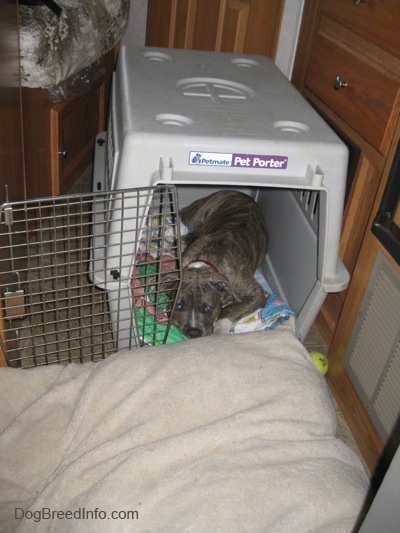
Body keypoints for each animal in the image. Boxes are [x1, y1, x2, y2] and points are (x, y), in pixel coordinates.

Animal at [164, 190, 268, 336]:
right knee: (180, 216)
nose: (193, 332)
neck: (206, 261)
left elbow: (230, 308)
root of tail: (248, 196)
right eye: (178, 306)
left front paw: (220, 329)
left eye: (208, 309)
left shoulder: (257, 294)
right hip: (196, 213)